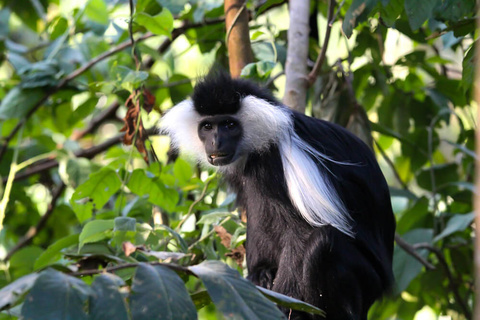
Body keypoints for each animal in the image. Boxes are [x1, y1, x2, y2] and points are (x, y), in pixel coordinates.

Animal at [160, 73, 394, 320]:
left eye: (229, 125)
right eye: (207, 126)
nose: (215, 141)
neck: (262, 142)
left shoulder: (284, 159)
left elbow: (302, 234)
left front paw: (282, 304)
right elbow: (256, 212)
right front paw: (258, 274)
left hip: (364, 279)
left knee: (322, 244)